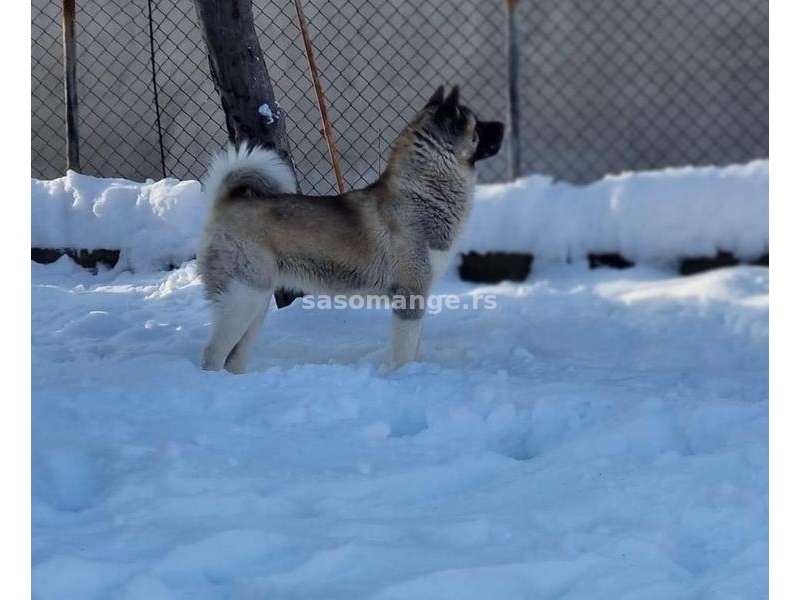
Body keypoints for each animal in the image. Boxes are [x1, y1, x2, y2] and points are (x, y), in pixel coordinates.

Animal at [197, 86, 504, 372]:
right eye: (477, 124)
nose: (502, 125)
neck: (425, 192)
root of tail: (225, 201)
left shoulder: (420, 294)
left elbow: (415, 346)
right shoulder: (409, 294)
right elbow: (404, 352)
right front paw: (404, 376)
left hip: (256, 302)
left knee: (234, 357)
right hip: (244, 297)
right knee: (213, 354)